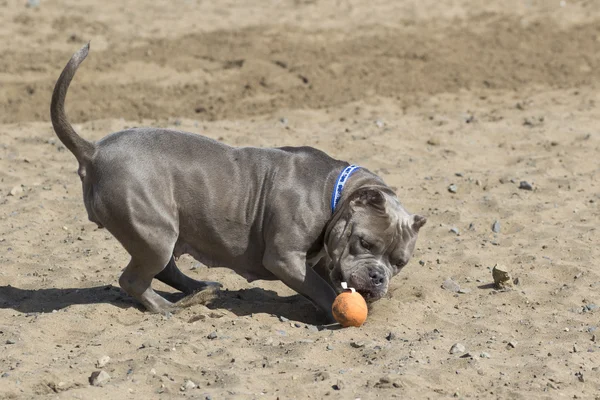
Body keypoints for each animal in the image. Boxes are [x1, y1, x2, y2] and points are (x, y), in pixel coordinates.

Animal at [51, 44, 426, 322]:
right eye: (365, 243)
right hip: (154, 232)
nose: (378, 276)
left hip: (161, 233)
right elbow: (321, 289)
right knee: (134, 279)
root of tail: (94, 150)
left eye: (400, 262)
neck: (334, 193)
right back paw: (171, 308)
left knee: (165, 270)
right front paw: (336, 308)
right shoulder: (284, 257)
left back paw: (200, 290)